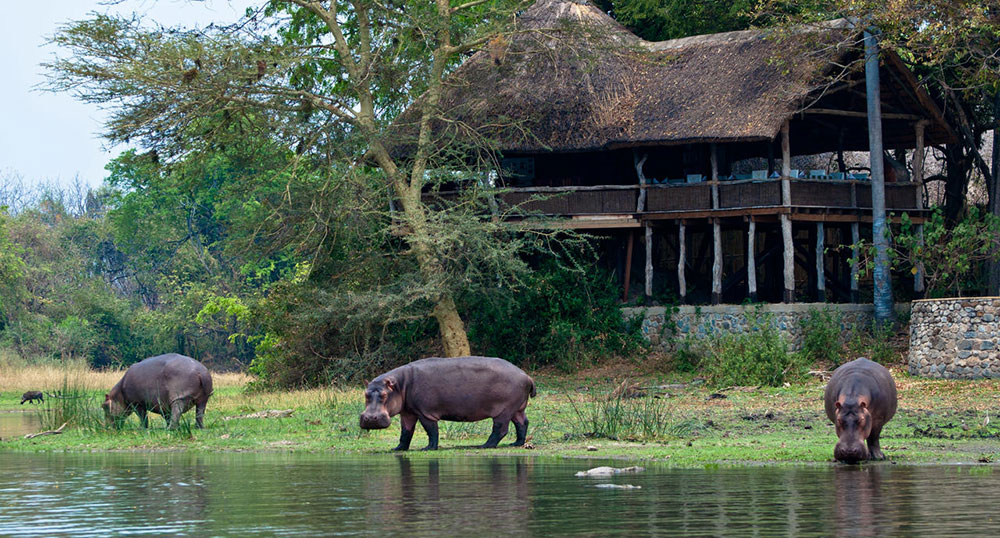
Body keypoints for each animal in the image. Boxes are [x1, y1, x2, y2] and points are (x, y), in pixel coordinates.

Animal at [358, 356, 532, 448]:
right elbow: (406, 432)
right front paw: (398, 449)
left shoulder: (425, 412)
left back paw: (485, 445)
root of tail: (526, 375)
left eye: (384, 395)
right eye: (365, 394)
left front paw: (428, 448)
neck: (400, 385)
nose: (370, 419)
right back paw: (516, 444)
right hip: (517, 409)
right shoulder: (408, 412)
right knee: (522, 423)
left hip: (503, 411)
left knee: (500, 429)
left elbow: (431, 431)